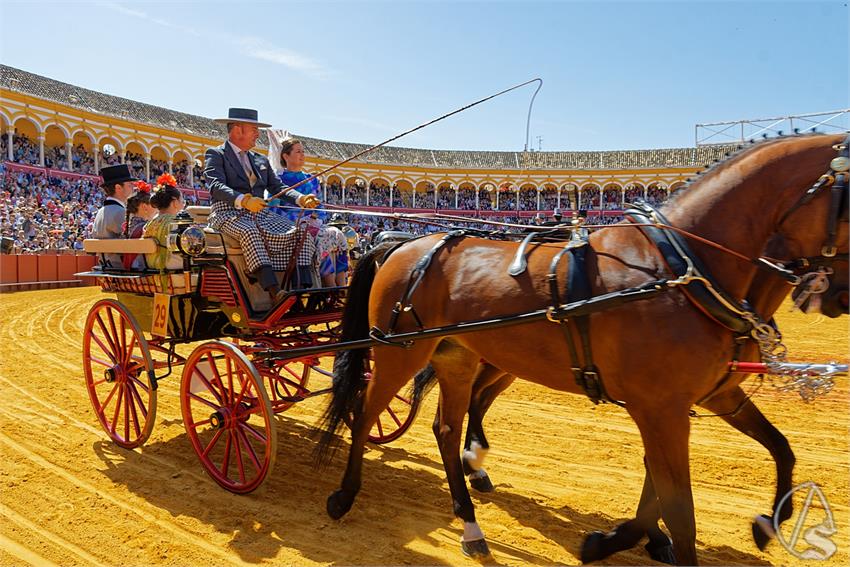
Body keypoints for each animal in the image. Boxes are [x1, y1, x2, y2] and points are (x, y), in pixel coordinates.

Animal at [314, 133, 844, 564]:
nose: (836, 297)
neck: (683, 269)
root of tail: (402, 242)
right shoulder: (661, 407)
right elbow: (678, 506)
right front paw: (630, 540)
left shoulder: (706, 397)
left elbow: (778, 449)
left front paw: (761, 525)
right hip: (399, 351)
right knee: (365, 411)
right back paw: (344, 495)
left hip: (459, 357)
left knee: (447, 426)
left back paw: (470, 520)